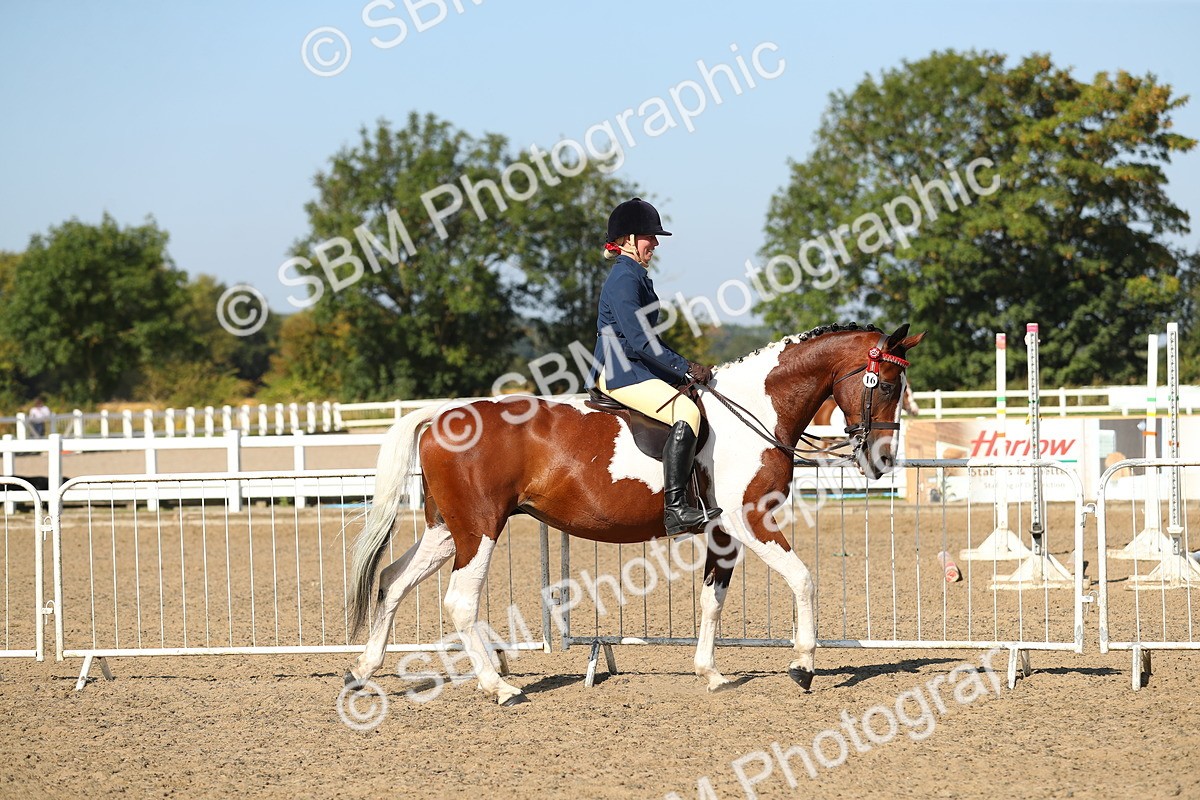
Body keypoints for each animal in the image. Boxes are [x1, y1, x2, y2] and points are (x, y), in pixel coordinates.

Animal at [344, 322, 924, 705]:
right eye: (886, 386)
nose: (882, 461)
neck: (757, 412)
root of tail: (441, 414)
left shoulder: (723, 532)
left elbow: (712, 600)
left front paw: (710, 673)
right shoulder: (751, 521)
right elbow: (803, 579)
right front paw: (802, 666)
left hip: (447, 530)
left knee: (393, 581)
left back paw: (364, 671)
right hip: (480, 530)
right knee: (460, 601)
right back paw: (500, 686)